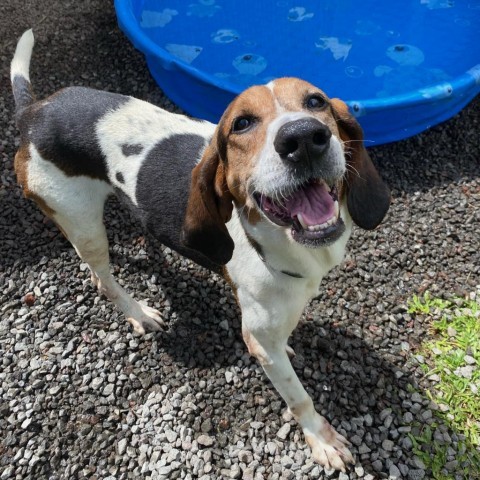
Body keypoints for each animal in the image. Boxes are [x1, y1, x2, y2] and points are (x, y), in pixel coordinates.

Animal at [12, 31, 390, 472]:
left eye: (316, 101)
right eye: (241, 123)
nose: (302, 138)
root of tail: (34, 112)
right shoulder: (260, 339)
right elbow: (299, 397)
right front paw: (321, 439)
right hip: (83, 223)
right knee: (103, 277)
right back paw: (139, 312)